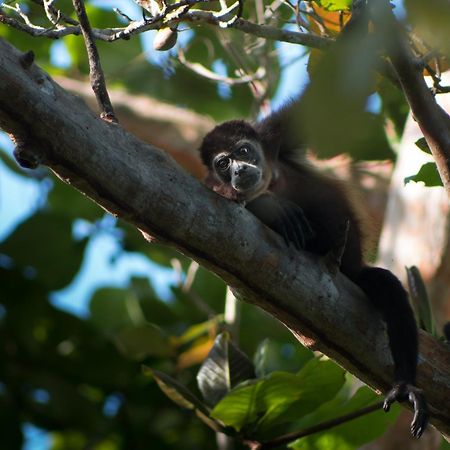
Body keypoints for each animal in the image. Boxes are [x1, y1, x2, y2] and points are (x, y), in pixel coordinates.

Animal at [200, 100, 428, 438]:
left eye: (242, 151)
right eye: (223, 164)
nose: (239, 170)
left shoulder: (276, 135)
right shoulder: (215, 186)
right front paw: (272, 207)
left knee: (388, 288)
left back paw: (404, 386)